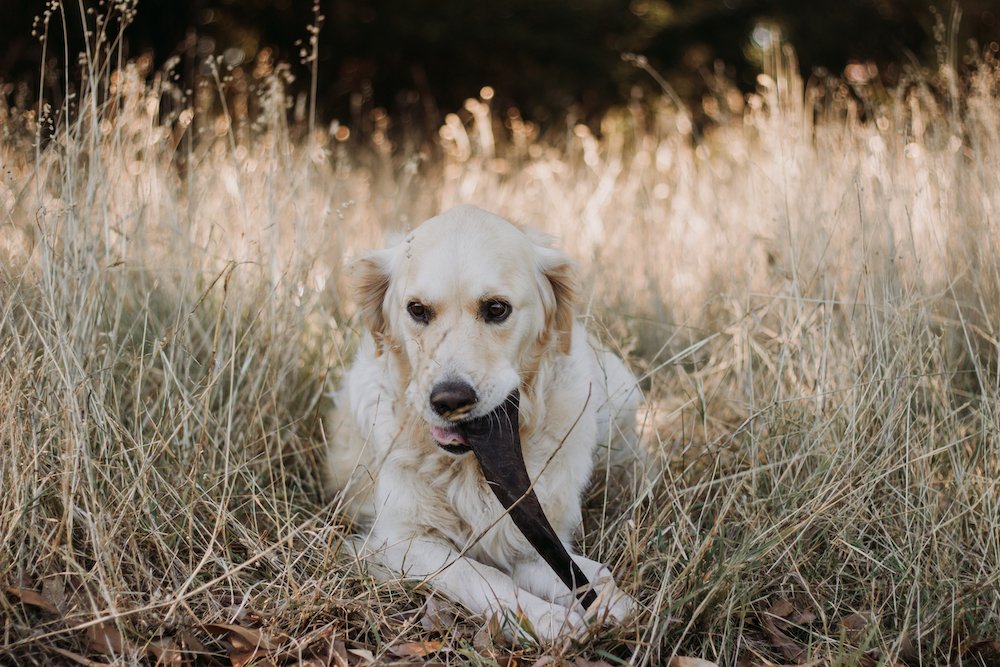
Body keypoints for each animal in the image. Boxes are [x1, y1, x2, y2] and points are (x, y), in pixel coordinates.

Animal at [326, 205, 640, 640]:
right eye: (417, 310)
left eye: (496, 309)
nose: (449, 399)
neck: (468, 465)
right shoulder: (395, 540)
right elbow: (477, 573)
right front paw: (546, 618)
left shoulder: (534, 535)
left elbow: (582, 571)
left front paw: (610, 601)